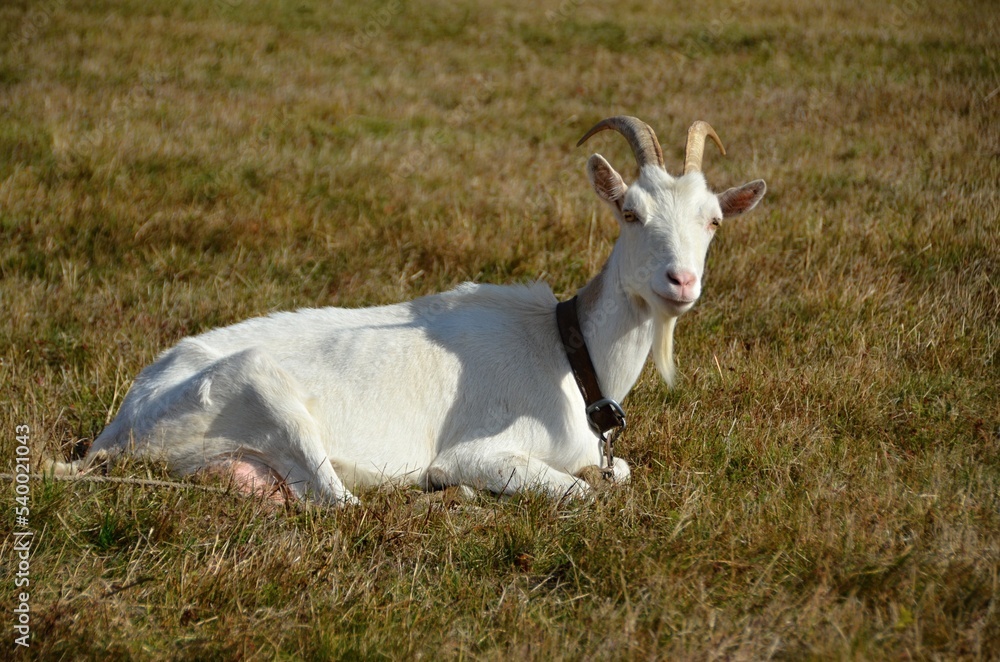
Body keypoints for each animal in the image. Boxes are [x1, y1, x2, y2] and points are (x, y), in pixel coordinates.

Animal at [66, 116, 766, 505]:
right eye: (630, 213)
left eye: (712, 221)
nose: (681, 281)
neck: (570, 354)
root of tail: (115, 432)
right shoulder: (481, 450)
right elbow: (579, 490)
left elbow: (617, 470)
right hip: (262, 389)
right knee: (339, 505)